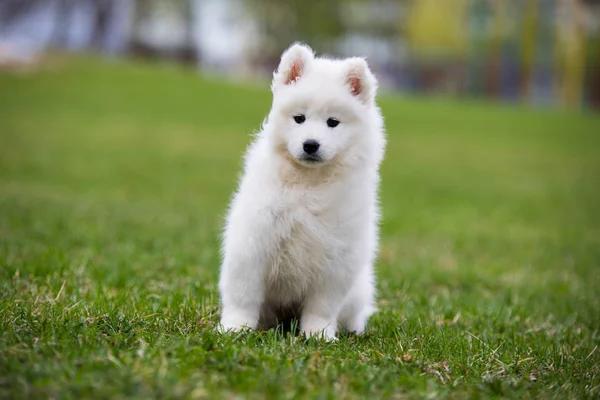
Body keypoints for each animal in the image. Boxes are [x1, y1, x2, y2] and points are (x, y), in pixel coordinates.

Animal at [218, 42, 386, 340]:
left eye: (333, 122)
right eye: (299, 118)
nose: (311, 144)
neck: (308, 184)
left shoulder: (336, 259)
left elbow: (322, 306)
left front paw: (318, 334)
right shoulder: (253, 243)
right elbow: (244, 296)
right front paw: (235, 328)